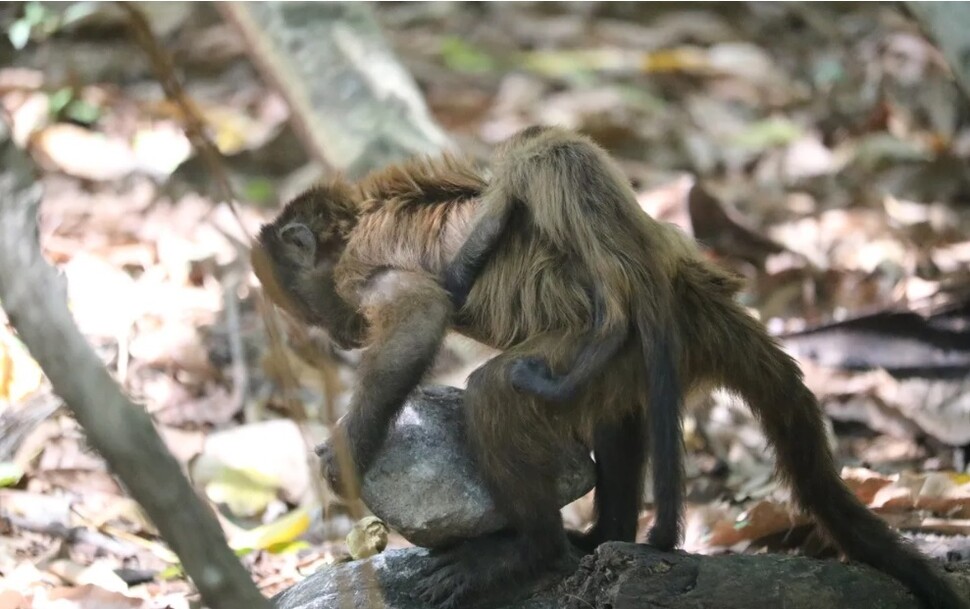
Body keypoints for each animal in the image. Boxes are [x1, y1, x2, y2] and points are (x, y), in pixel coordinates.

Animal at [250, 124, 960, 608]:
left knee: (496, 391)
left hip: (612, 344)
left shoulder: (361, 271)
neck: (354, 224)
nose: (339, 337)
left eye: (305, 308)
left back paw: (531, 553)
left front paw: (348, 449)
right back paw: (603, 537)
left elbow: (420, 316)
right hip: (636, 359)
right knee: (614, 415)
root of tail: (692, 292)